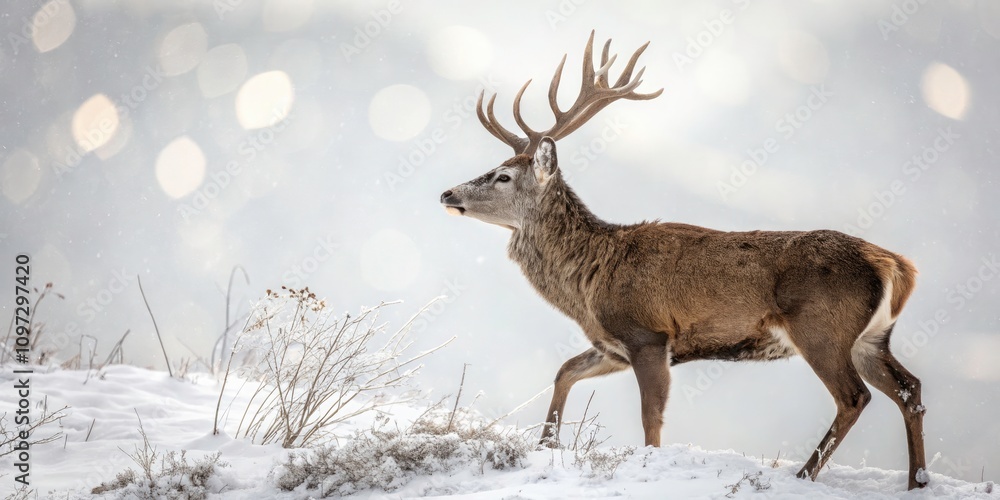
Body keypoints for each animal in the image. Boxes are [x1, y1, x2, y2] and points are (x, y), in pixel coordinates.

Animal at [439, 31, 927, 490]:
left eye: (503, 176)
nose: (447, 193)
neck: (589, 280)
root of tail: (896, 266)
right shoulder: (613, 345)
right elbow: (564, 371)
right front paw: (547, 446)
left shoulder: (647, 335)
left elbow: (650, 418)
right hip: (871, 338)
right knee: (909, 389)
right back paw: (916, 481)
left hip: (822, 328)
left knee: (854, 397)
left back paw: (805, 474)